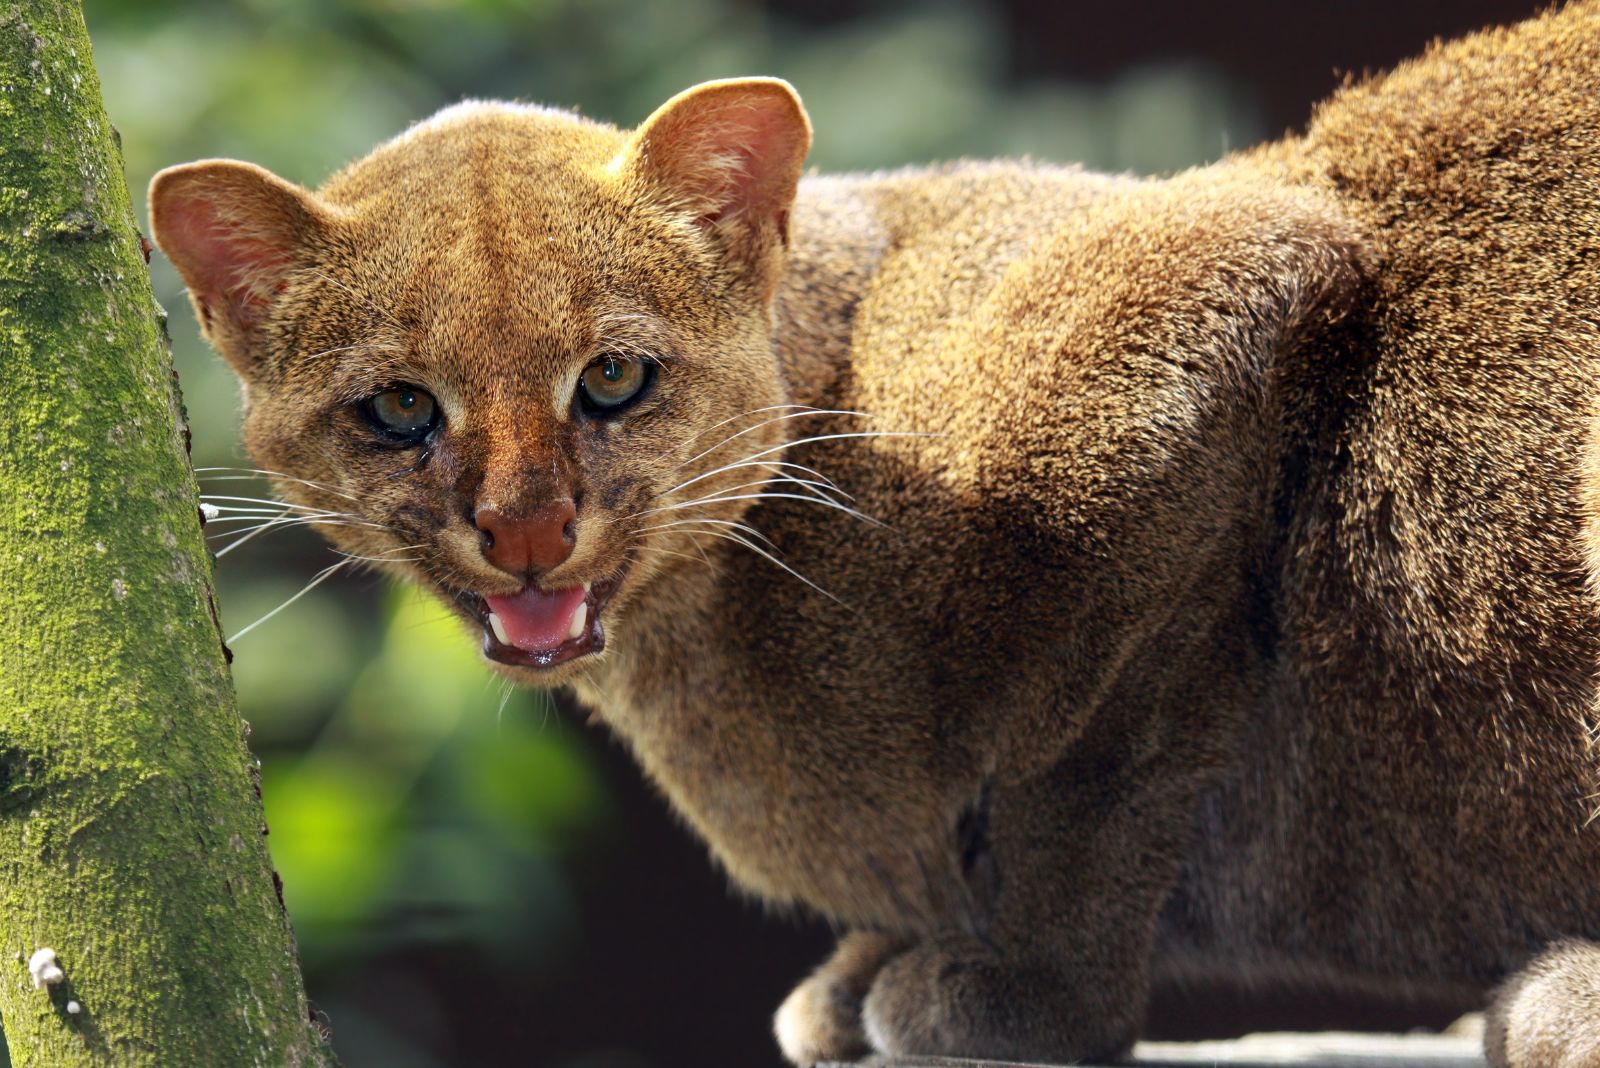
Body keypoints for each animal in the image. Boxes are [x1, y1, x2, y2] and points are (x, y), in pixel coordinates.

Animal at [150, 4, 1600, 1061]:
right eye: (399, 408)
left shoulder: (1242, 283)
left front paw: (1022, 991)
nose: (526, 531)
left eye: (612, 378)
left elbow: (1097, 774)